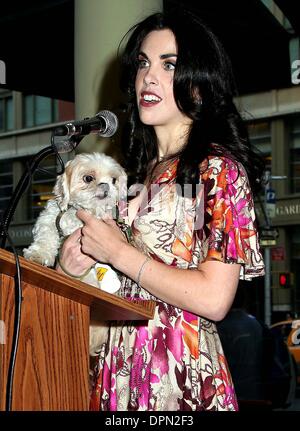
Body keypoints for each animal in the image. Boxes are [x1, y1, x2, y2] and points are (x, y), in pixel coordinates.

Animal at [23, 154, 126, 356]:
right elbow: (46, 239)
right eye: (88, 178)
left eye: (113, 180)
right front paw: (37, 255)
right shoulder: (50, 220)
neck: (79, 213)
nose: (106, 185)